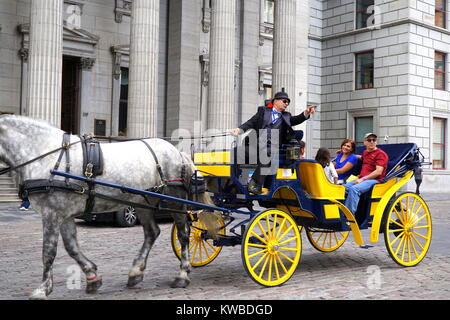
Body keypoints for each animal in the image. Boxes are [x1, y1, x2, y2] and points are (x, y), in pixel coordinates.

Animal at [0, 115, 220, 300]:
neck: (46, 154)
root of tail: (178, 152)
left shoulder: (51, 214)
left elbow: (48, 252)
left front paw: (43, 289)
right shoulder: (64, 214)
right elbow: (72, 247)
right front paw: (92, 276)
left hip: (174, 200)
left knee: (183, 234)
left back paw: (182, 274)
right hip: (143, 201)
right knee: (152, 232)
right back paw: (135, 272)